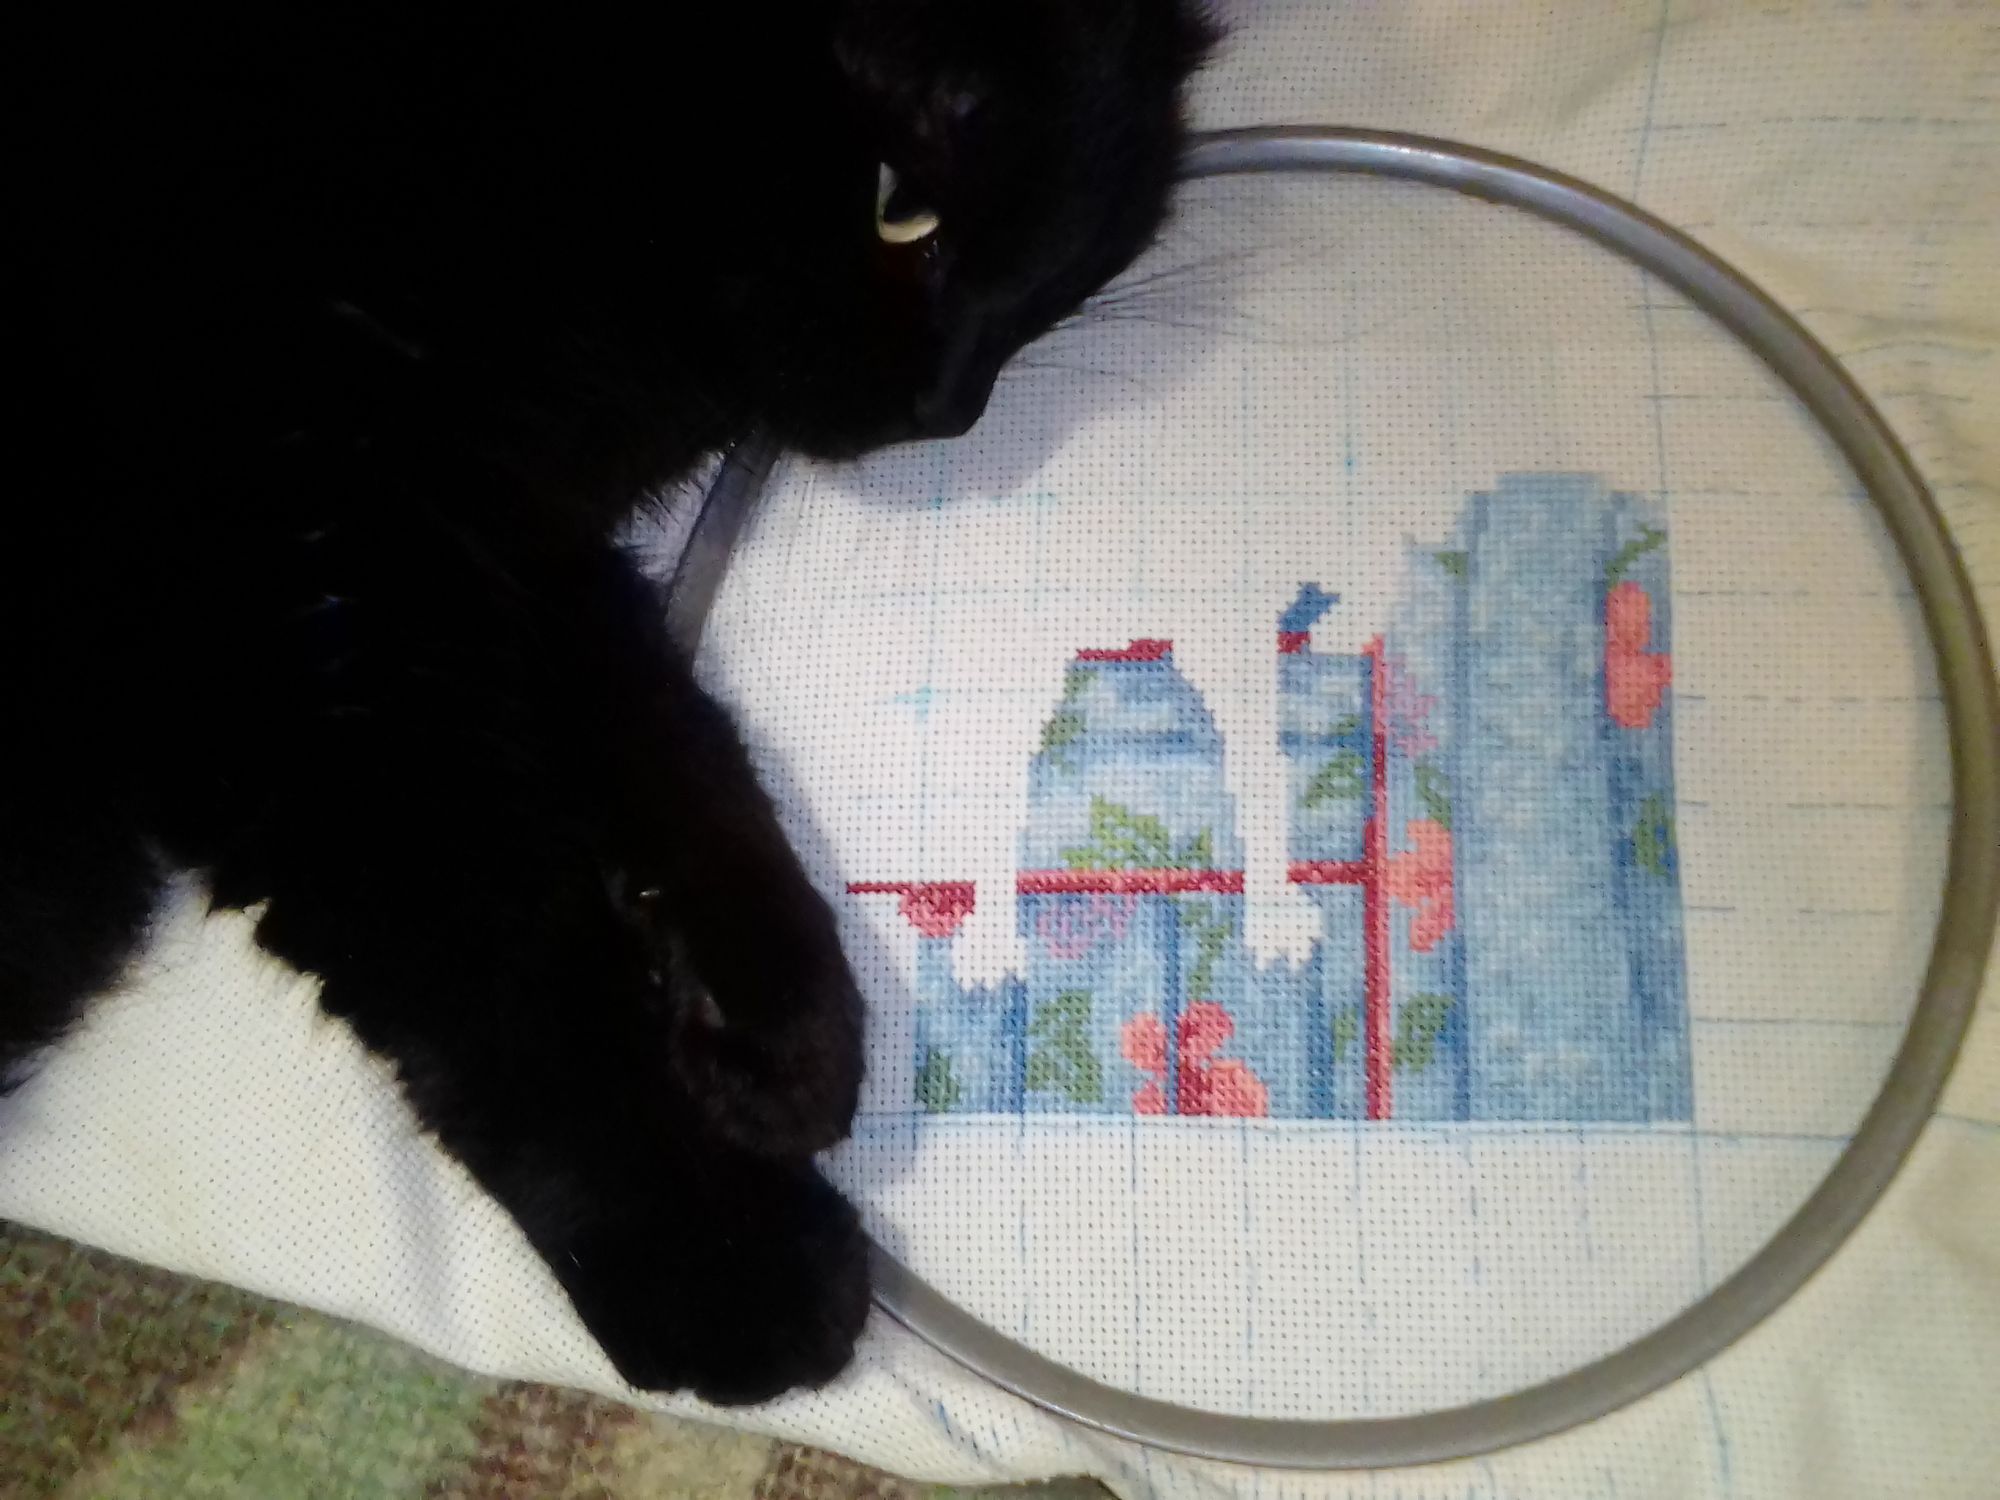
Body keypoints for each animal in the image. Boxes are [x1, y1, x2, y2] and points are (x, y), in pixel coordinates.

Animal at [2, 2, 1215, 1402]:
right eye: (900, 211)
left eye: (1046, 295)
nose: (946, 408)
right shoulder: (277, 594)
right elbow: (492, 946)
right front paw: (722, 1256)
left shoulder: (481, 530)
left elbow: (669, 747)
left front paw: (773, 1029)